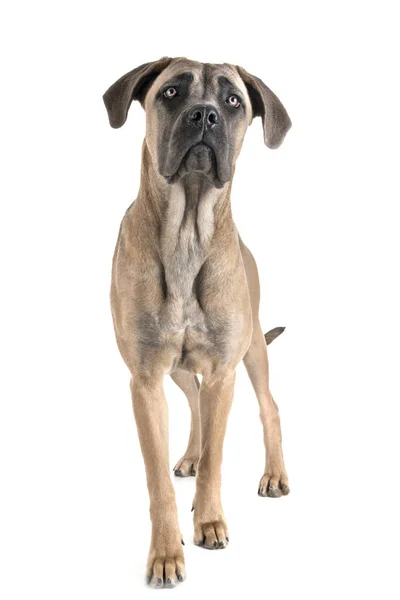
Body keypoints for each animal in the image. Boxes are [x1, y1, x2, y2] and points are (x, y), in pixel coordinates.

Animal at [103, 58, 290, 588]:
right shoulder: (146, 379)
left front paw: (209, 522)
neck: (186, 232)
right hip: (181, 372)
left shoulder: (225, 372)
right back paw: (189, 454)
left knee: (268, 409)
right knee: (194, 405)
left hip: (253, 351)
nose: (204, 115)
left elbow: (216, 459)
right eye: (171, 92)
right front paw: (166, 553)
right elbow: (157, 481)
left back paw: (274, 475)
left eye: (233, 101)